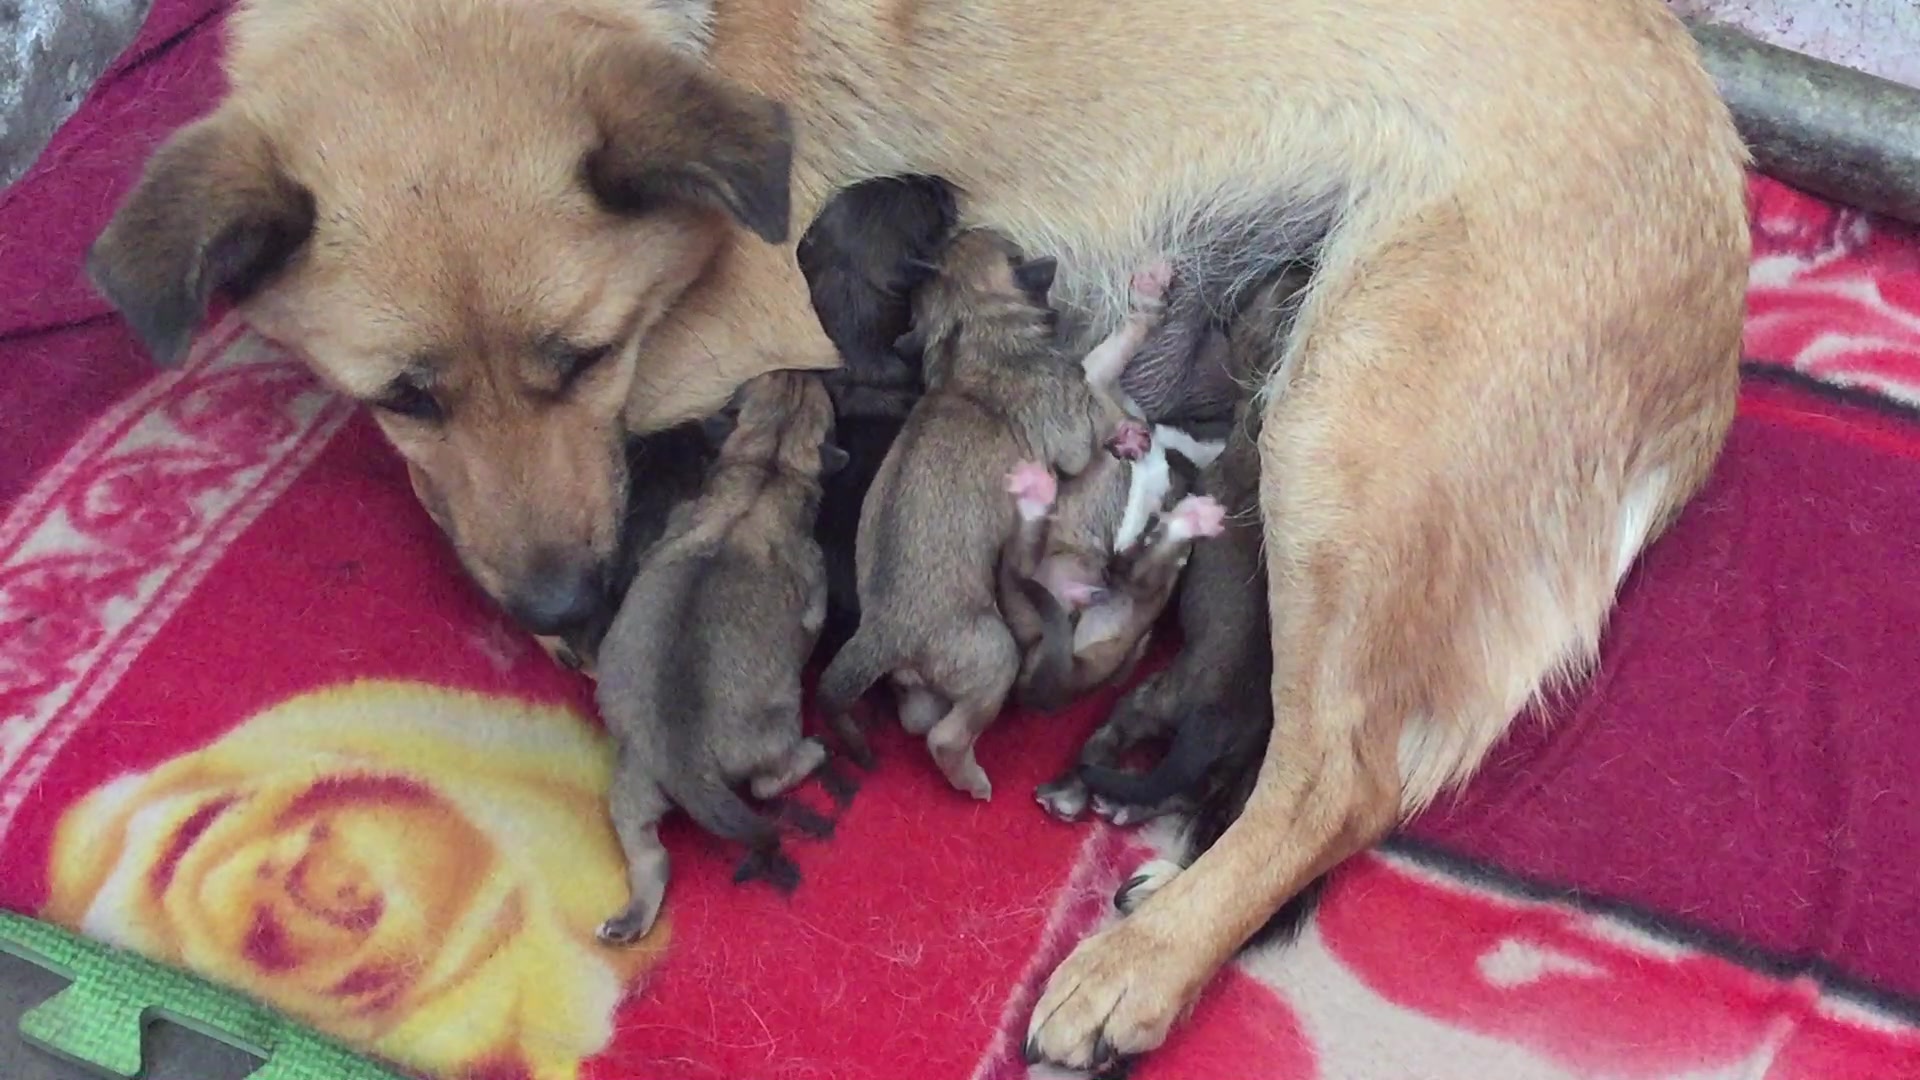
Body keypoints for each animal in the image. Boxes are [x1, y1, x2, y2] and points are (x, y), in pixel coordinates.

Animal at [595, 367, 844, 941]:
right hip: (778, 726)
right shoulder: (815, 583)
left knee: (649, 854)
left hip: (632, 781)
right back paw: (813, 752)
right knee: (767, 783)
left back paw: (630, 919)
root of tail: (689, 766)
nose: (804, 367)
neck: (765, 470)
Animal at [814, 228, 1152, 799]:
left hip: (924, 684)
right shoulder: (1071, 431)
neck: (973, 329)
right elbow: (1092, 417)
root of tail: (883, 633)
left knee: (918, 719)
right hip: (994, 652)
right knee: (946, 737)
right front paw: (1122, 429)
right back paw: (972, 779)